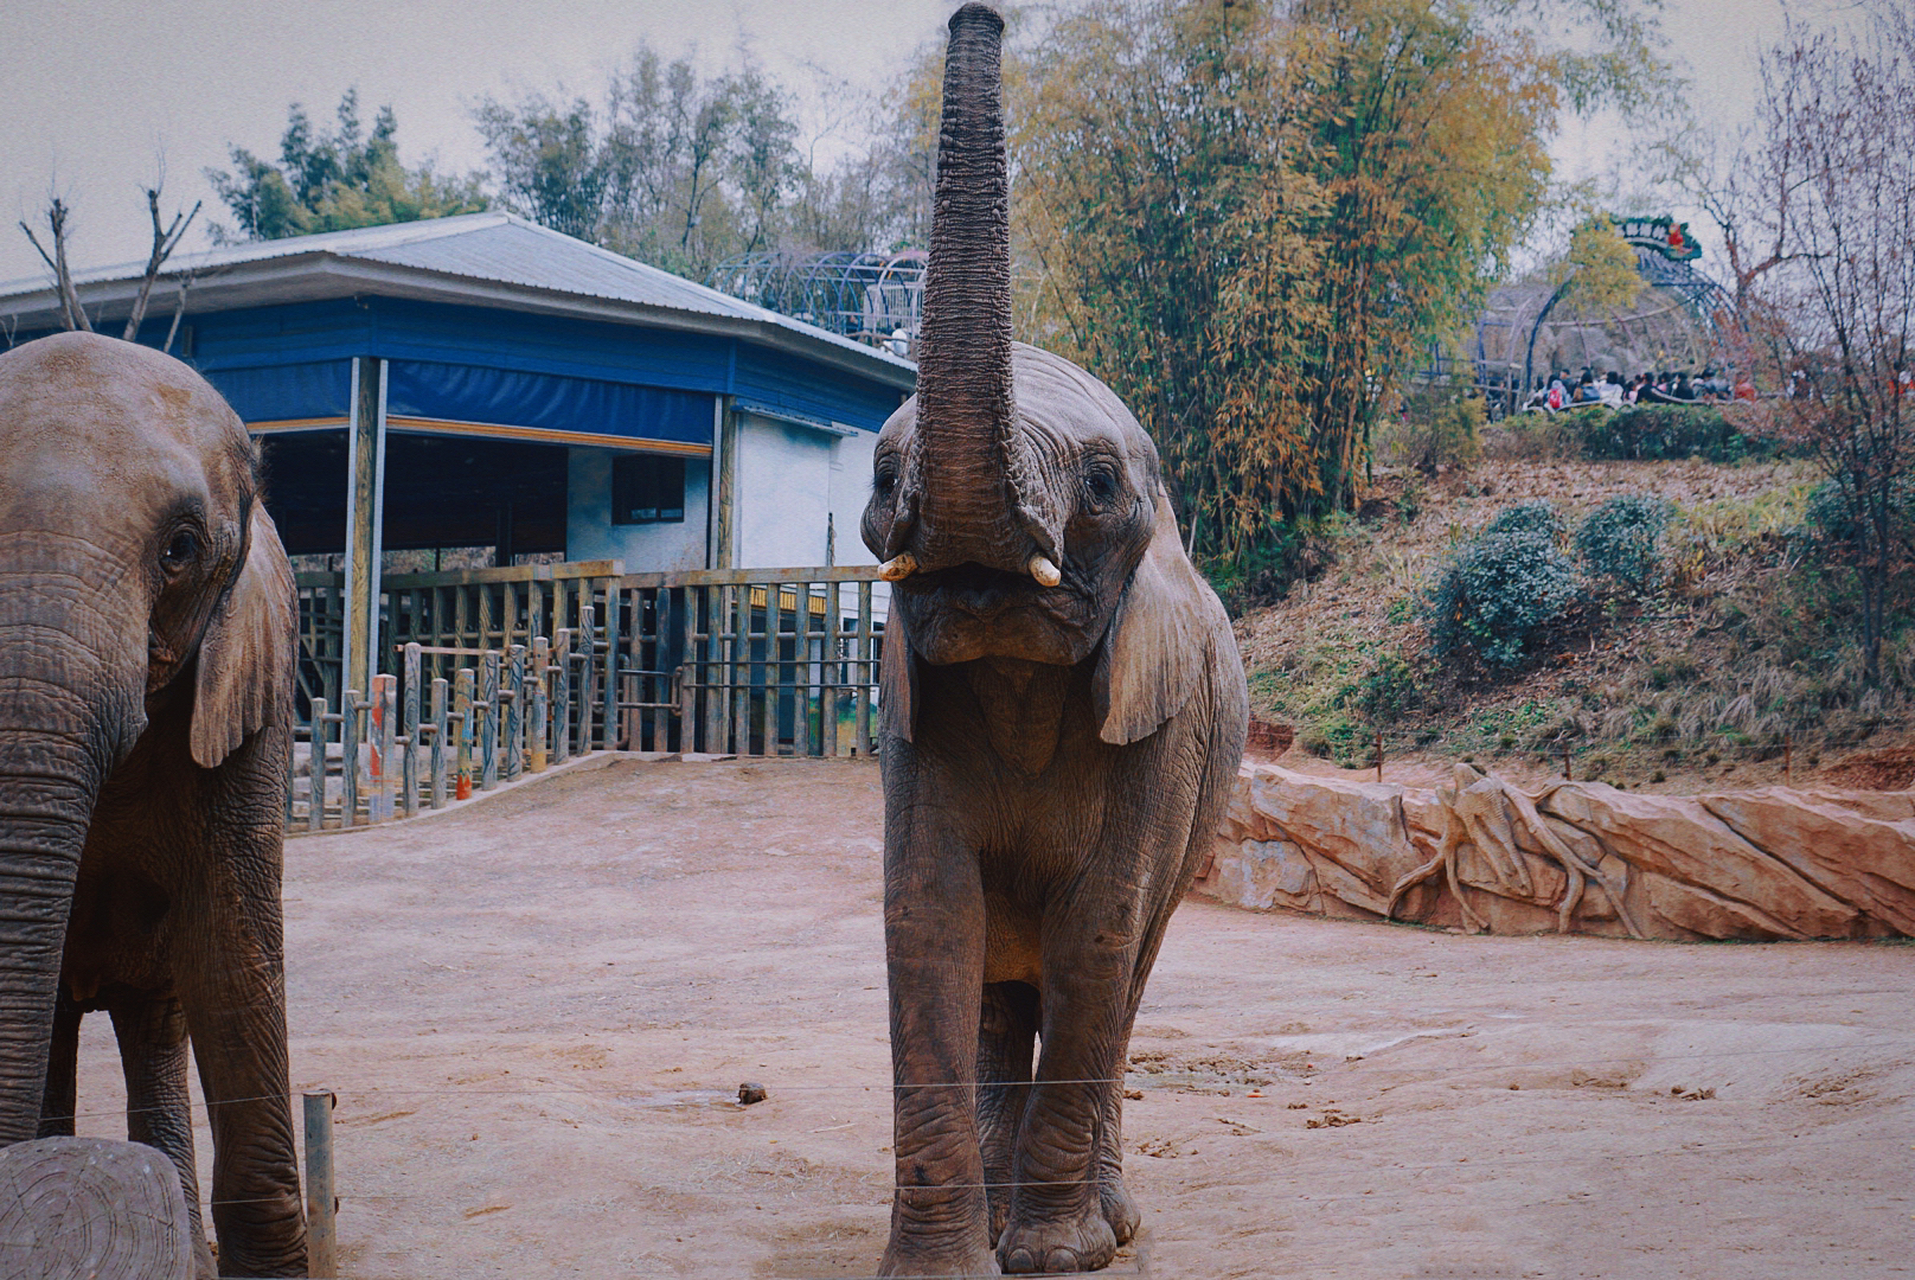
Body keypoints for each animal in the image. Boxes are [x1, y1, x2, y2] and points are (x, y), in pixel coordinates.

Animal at [869, 5, 1256, 1272]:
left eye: (1097, 484)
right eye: (882, 477)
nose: (978, 17)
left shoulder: (1159, 727)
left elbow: (1097, 926)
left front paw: (1058, 1256)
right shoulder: (911, 717)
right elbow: (928, 917)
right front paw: (940, 1265)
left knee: (1124, 971)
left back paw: (1105, 1221)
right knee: (1003, 982)